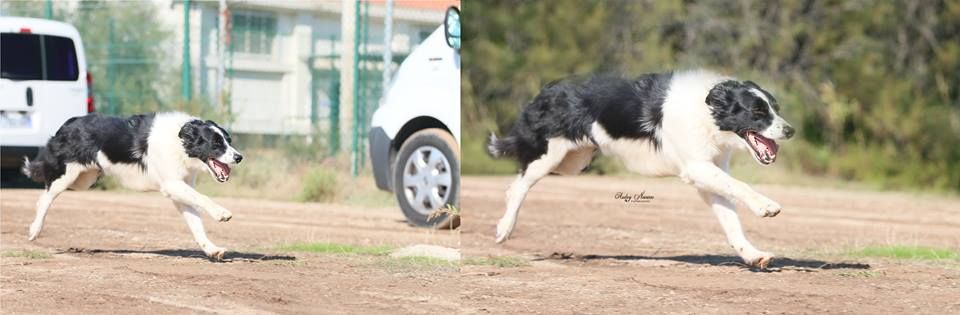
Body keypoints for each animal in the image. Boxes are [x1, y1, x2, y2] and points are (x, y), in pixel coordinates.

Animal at [22, 112, 242, 260]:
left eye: (229, 141)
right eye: (216, 144)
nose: (239, 157)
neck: (180, 142)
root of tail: (69, 123)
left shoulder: (179, 190)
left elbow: (195, 223)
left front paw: (211, 249)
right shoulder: (171, 185)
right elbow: (202, 198)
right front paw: (221, 213)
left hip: (84, 179)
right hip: (68, 175)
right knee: (45, 197)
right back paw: (35, 229)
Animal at [488, 69, 796, 270]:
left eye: (776, 108)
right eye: (757, 112)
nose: (790, 131)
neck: (707, 112)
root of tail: (545, 90)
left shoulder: (707, 176)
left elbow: (730, 220)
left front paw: (753, 255)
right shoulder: (696, 168)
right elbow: (740, 187)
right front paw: (766, 206)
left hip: (574, 161)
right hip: (551, 155)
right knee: (518, 186)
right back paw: (505, 228)